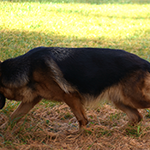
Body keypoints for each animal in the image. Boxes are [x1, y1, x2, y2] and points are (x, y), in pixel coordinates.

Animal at [0, 47, 150, 130]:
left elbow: (82, 120)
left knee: (138, 113)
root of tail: (146, 63)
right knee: (136, 116)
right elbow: (14, 117)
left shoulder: (70, 96)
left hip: (133, 98)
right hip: (120, 100)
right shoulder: (31, 100)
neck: (28, 67)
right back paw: (118, 130)